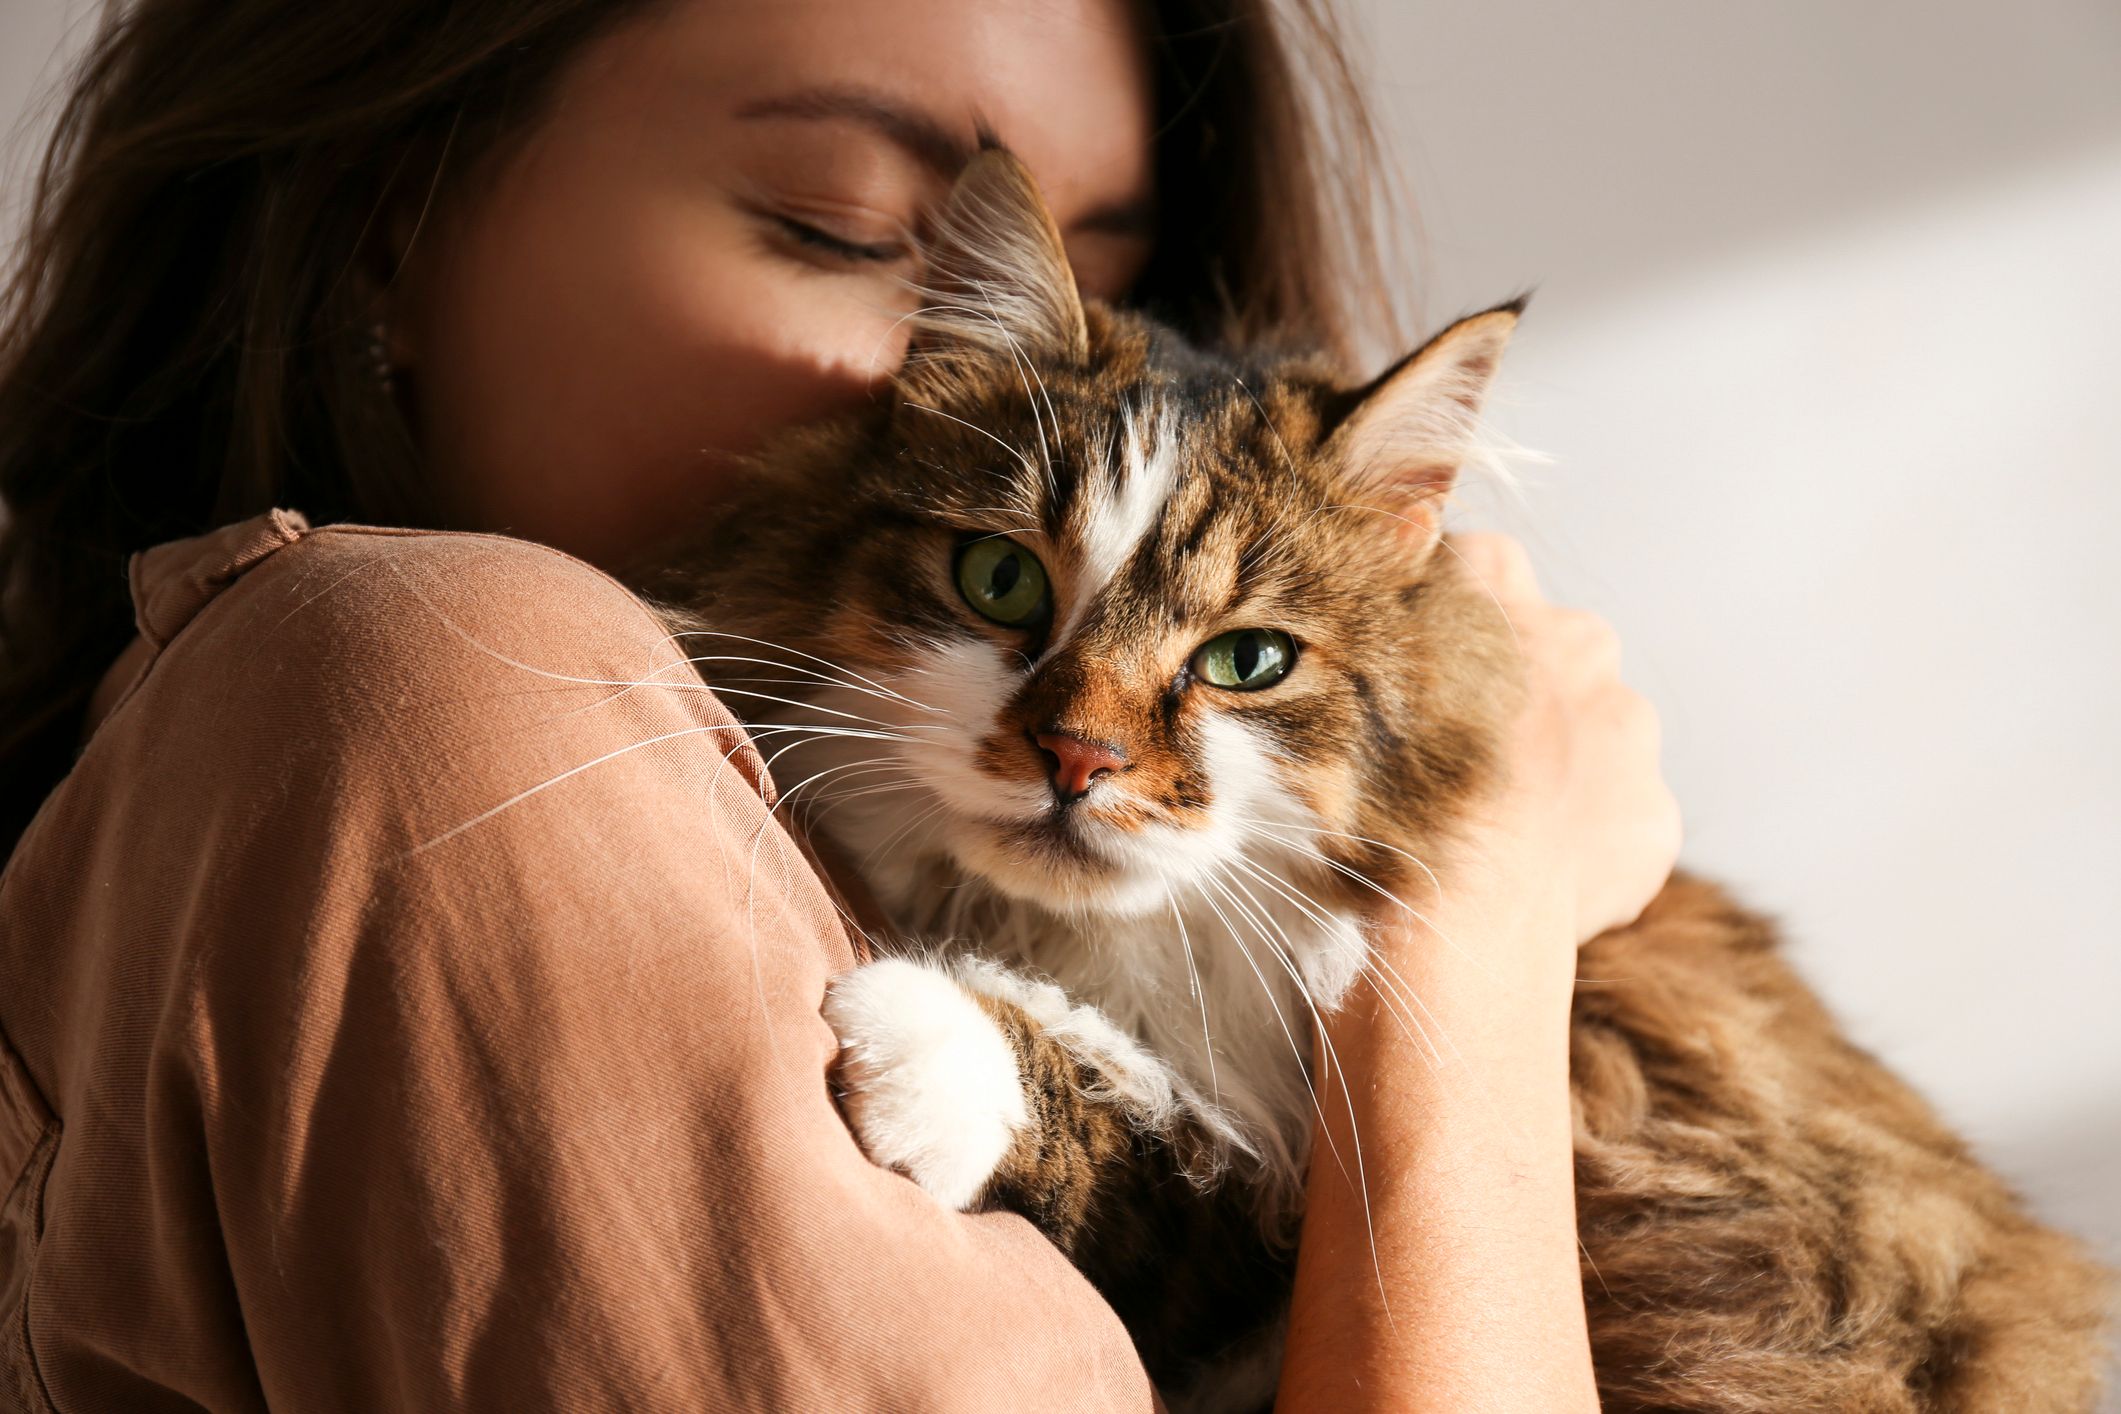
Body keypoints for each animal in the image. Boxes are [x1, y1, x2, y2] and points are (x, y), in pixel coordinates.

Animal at [636, 154, 2112, 1414]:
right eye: (999, 580)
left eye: (1248, 661)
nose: (1078, 758)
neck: (1093, 950)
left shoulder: (1263, 1221)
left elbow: (1126, 1124)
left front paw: (923, 1040)